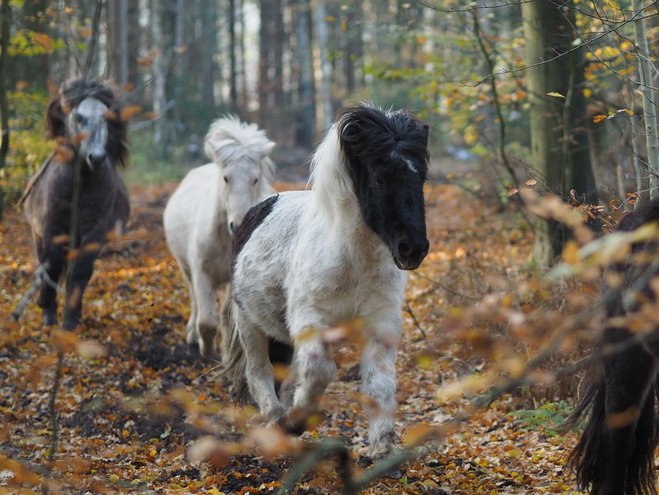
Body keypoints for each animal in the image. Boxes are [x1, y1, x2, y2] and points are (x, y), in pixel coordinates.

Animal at [20, 78, 131, 330]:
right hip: (38, 235)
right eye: (78, 117)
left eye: (107, 117)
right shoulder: (51, 229)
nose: (96, 158)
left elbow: (80, 271)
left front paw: (70, 320)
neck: (79, 188)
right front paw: (47, 310)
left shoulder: (94, 233)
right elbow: (50, 267)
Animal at [168, 115, 278, 356]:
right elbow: (207, 322)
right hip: (186, 269)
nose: (238, 224)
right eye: (226, 178)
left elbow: (227, 321)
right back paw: (192, 336)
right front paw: (207, 353)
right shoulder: (201, 274)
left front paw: (226, 353)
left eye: (256, 179)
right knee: (194, 301)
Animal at [224, 104, 430, 462]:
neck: (353, 262)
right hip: (250, 324)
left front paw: (383, 448)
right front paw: (294, 422)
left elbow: (379, 385)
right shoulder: (311, 319)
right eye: (380, 178)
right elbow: (321, 371)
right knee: (259, 372)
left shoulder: (380, 323)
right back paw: (275, 419)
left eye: (422, 177)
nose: (413, 249)